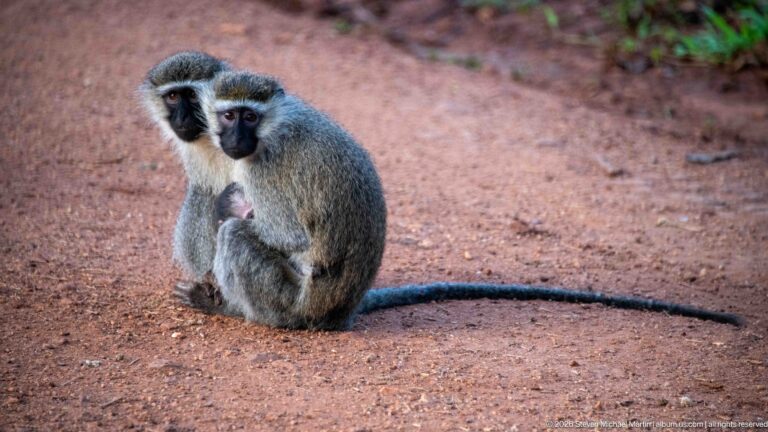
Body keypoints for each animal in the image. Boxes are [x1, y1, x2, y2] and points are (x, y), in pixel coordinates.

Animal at [174, 71, 744, 329]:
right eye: (226, 115)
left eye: (246, 116)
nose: (232, 139)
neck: (273, 129)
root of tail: (341, 309)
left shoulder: (264, 167)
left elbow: (287, 233)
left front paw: (230, 207)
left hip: (293, 299)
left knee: (239, 238)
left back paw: (242, 313)